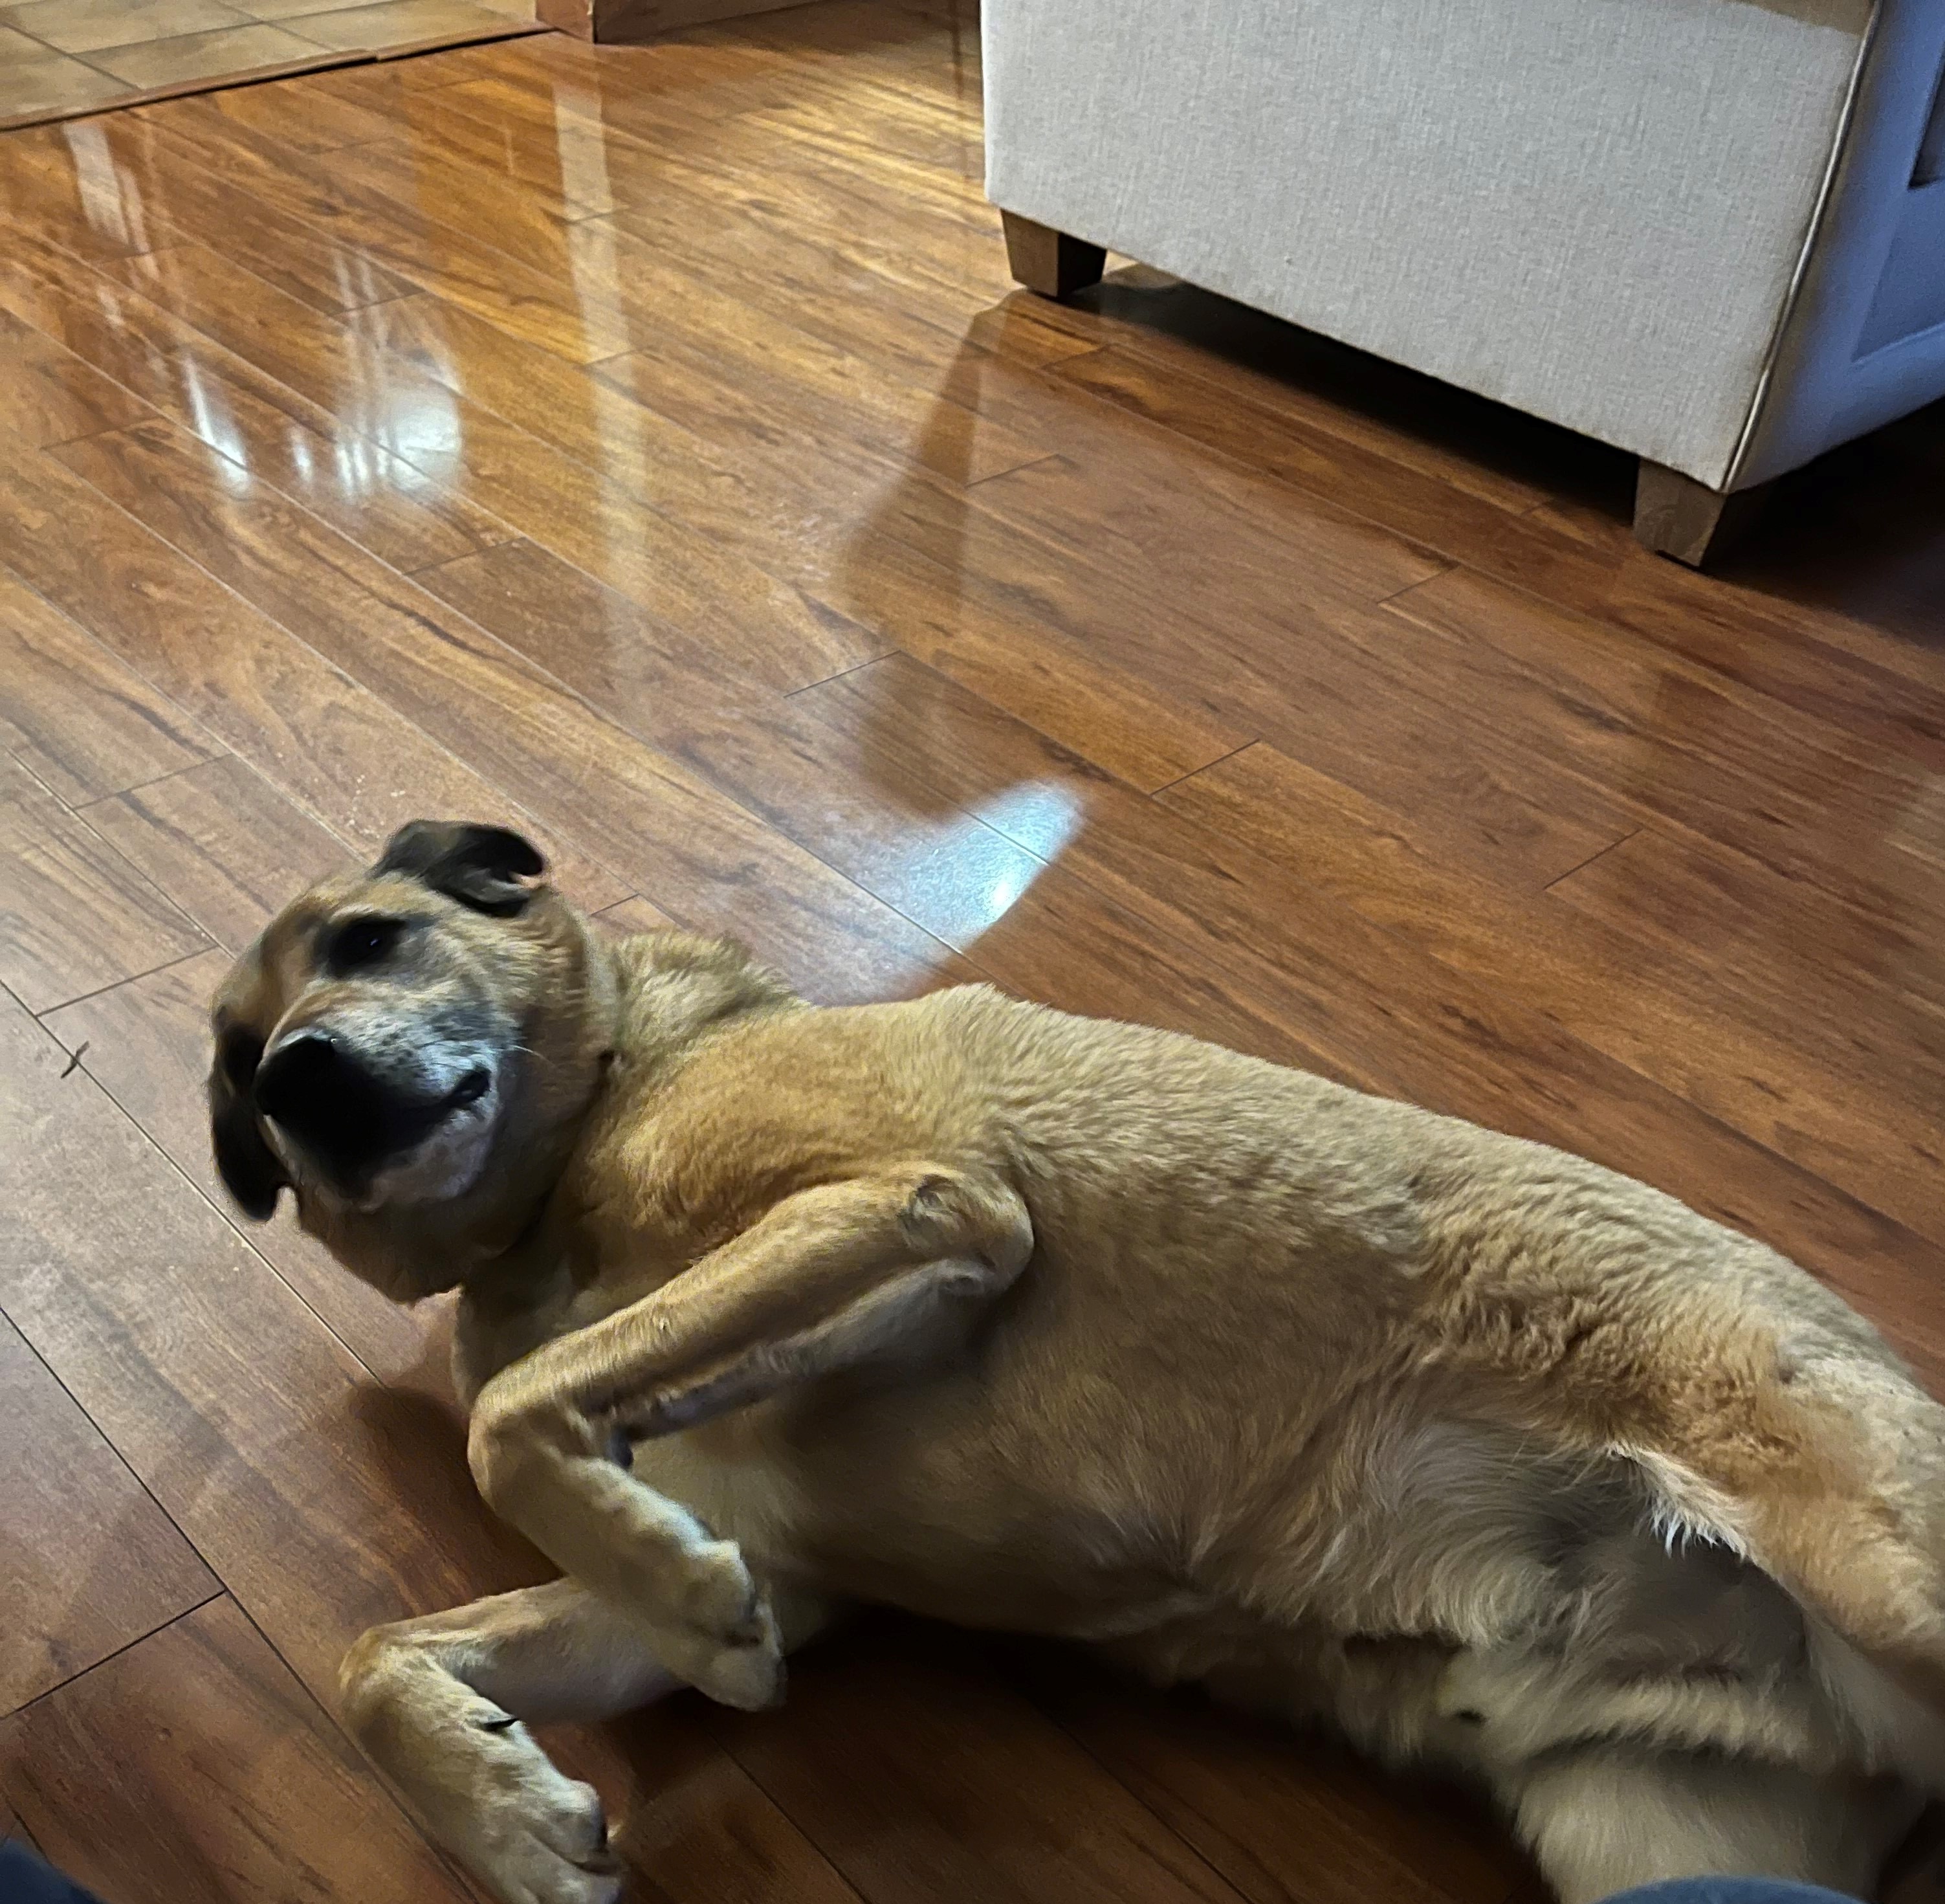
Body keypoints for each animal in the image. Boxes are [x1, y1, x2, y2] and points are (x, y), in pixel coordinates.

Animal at [213, 821, 1945, 1904]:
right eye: (236, 1056)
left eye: (373, 938)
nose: (299, 1083)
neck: (584, 1137)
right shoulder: (785, 1556)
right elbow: (378, 1655)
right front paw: (510, 1816)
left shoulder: (923, 1206)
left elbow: (521, 1413)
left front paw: (689, 1613)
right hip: (1664, 1827)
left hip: (1874, 1569)